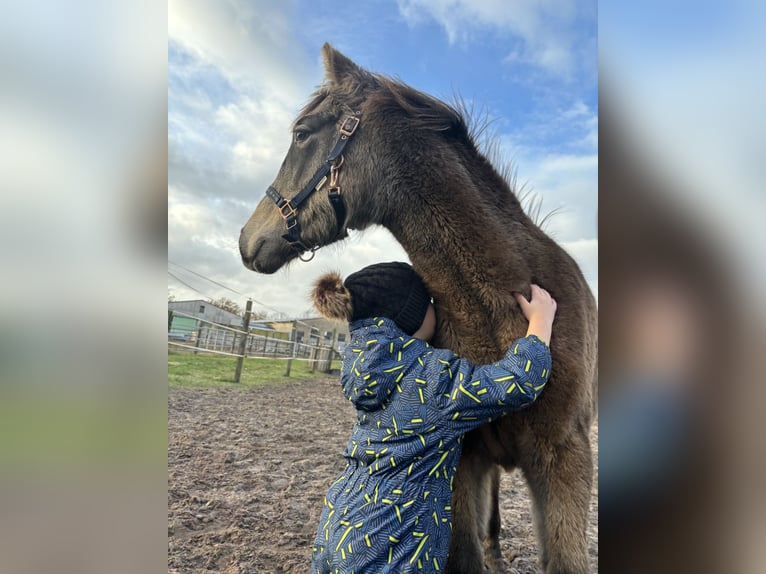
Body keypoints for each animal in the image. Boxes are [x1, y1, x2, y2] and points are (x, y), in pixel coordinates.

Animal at [240, 46, 600, 574]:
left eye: (303, 134)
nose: (247, 241)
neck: (504, 312)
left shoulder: (564, 461)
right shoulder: (464, 462)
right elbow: (466, 555)